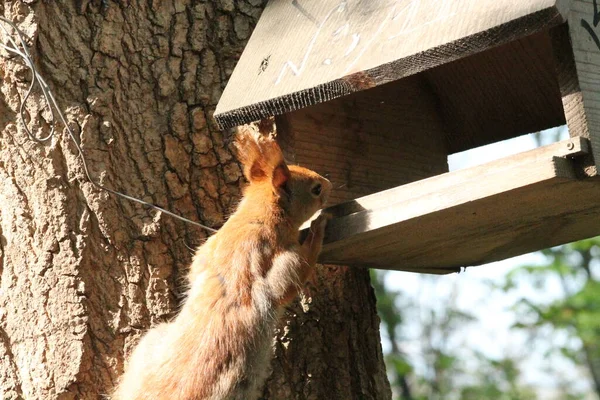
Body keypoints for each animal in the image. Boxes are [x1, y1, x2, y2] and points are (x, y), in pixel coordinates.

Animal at [112, 123, 332, 398]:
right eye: (316, 189)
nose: (330, 183)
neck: (254, 217)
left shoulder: (207, 249)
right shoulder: (274, 256)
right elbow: (290, 281)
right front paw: (318, 230)